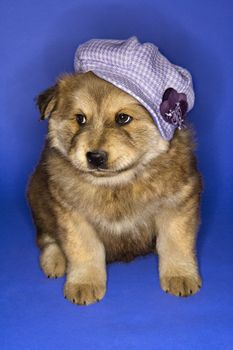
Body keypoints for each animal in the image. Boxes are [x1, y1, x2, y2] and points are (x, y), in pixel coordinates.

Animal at [27, 72, 202, 304]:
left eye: (123, 118)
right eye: (80, 119)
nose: (95, 157)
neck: (116, 183)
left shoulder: (177, 205)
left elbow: (175, 244)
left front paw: (180, 275)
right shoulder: (72, 215)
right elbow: (85, 250)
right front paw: (84, 283)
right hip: (38, 200)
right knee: (46, 238)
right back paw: (54, 261)